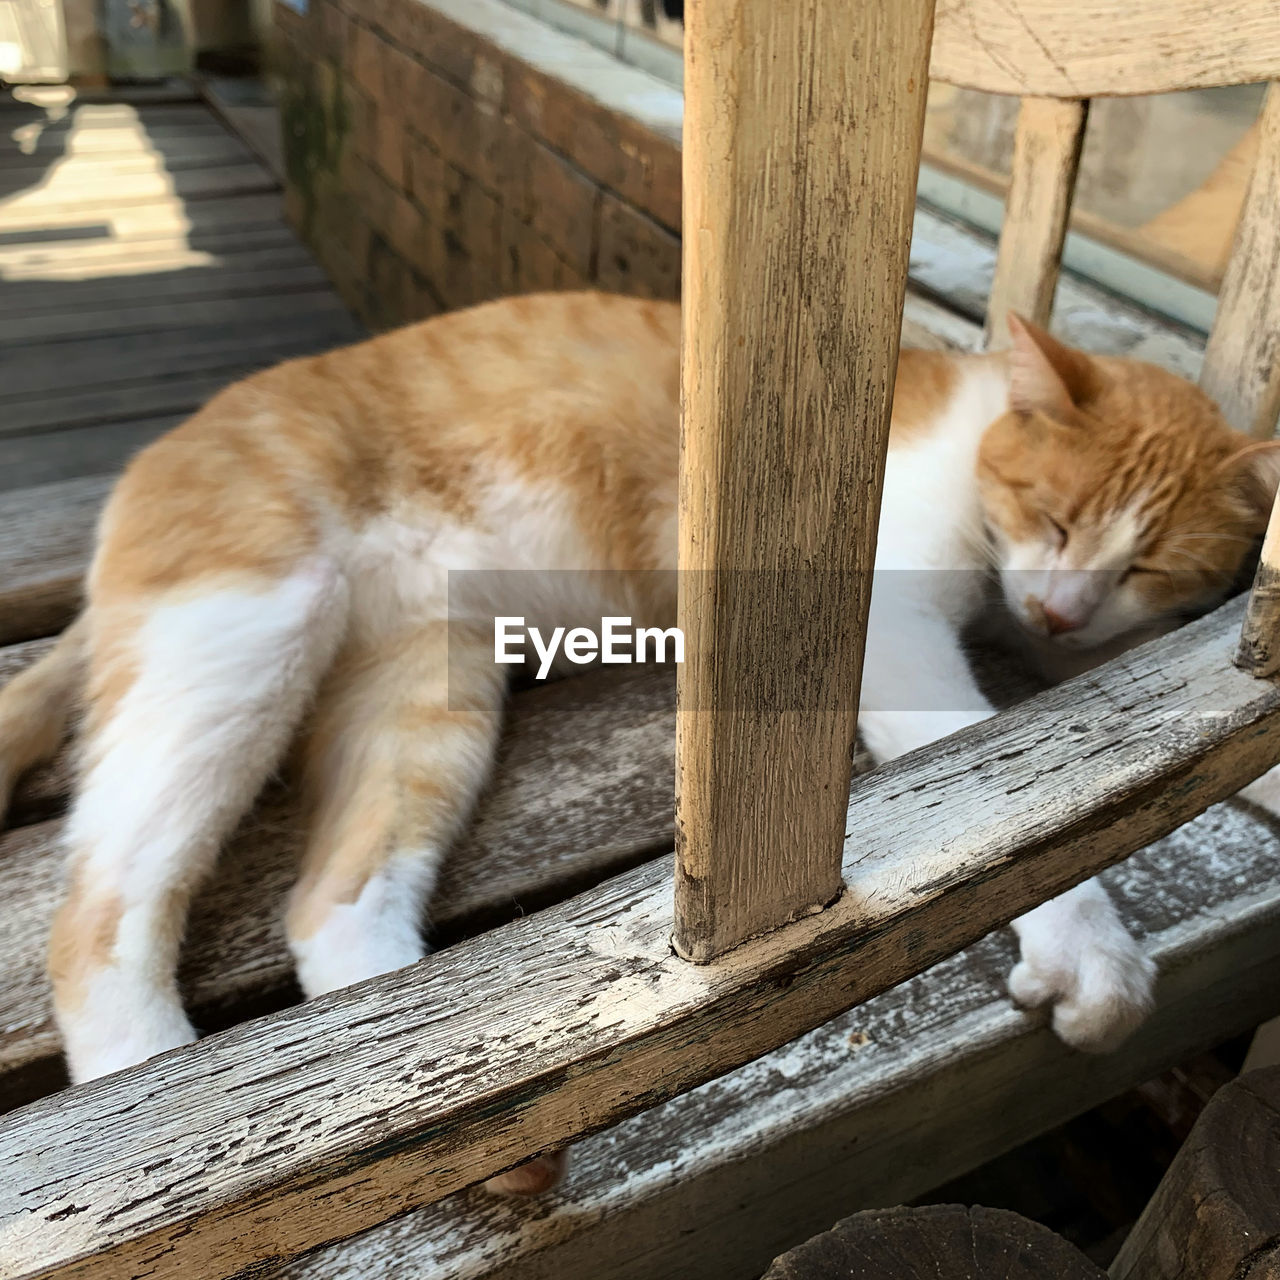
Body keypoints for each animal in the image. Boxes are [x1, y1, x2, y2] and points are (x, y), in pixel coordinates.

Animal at [0, 294, 1269, 1172]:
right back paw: (154, 1083)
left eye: (1146, 565)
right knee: (100, 909)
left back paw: (455, 1125)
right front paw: (1090, 949)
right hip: (242, 629)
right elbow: (987, 789)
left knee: (331, 904)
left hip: (424, 682)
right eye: (1052, 517)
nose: (1058, 608)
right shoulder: (885, 627)